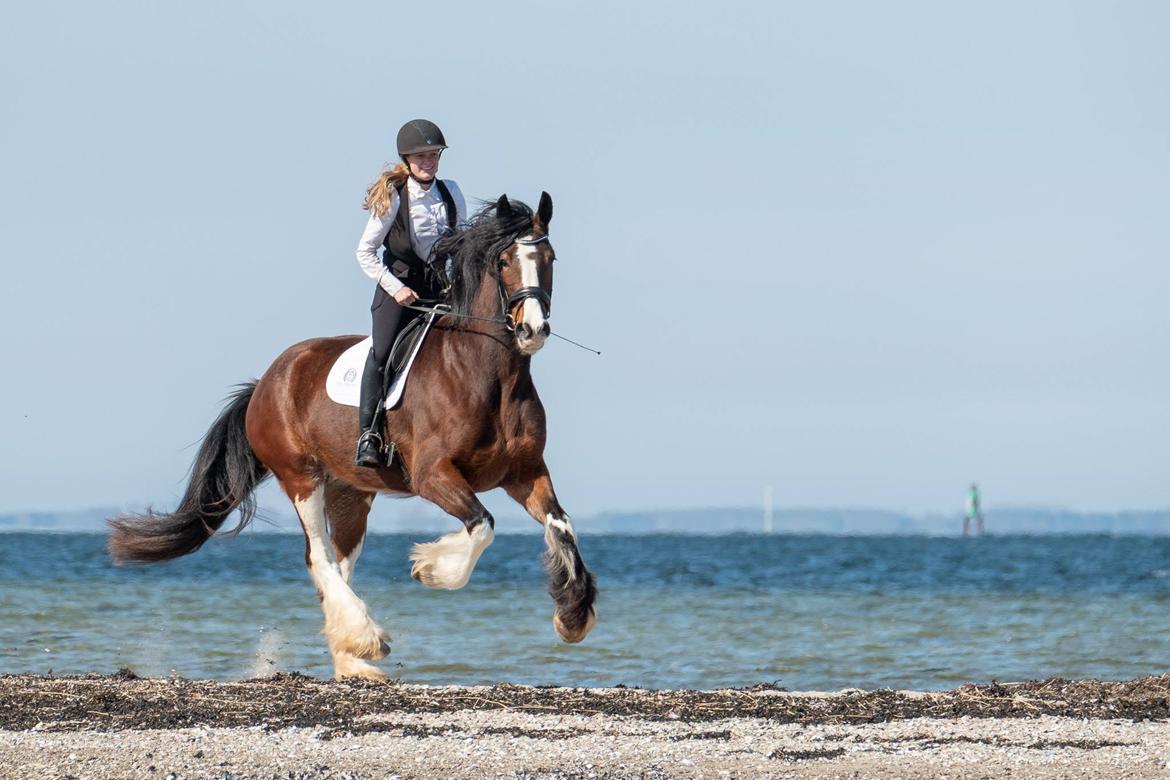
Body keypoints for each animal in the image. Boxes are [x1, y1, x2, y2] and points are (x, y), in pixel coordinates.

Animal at [106, 194, 599, 678]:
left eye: (550, 258)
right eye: (503, 260)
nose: (532, 330)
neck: (485, 374)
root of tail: (267, 380)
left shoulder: (525, 472)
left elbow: (561, 525)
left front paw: (573, 616)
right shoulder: (432, 475)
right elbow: (482, 526)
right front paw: (431, 569)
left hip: (352, 492)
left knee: (340, 564)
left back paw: (352, 655)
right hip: (301, 478)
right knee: (318, 558)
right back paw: (364, 639)